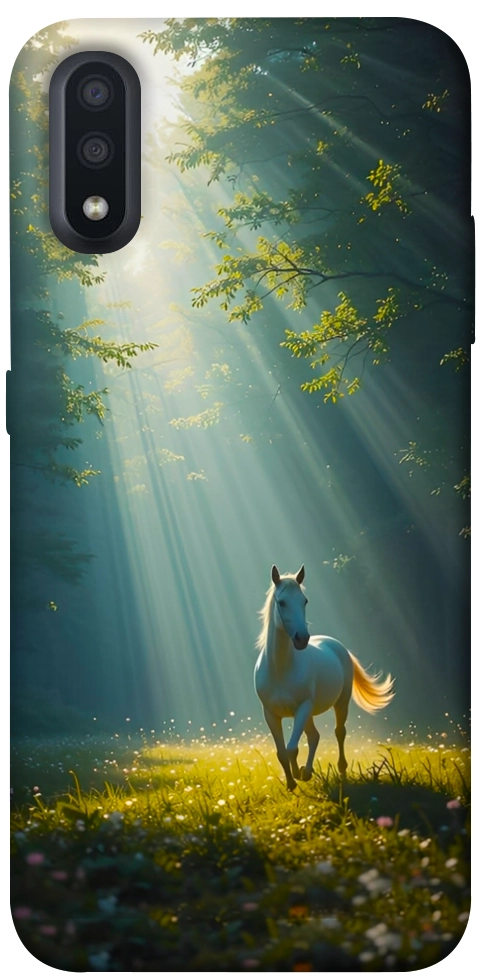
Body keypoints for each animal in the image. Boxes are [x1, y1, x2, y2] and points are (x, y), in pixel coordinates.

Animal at [254, 564, 394, 791]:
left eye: (304, 601)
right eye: (282, 602)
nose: (302, 638)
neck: (280, 669)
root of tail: (336, 645)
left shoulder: (302, 708)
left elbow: (292, 748)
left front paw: (298, 774)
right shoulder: (271, 715)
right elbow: (282, 752)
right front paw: (292, 782)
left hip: (340, 703)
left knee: (339, 733)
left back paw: (340, 770)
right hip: (308, 714)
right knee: (314, 736)